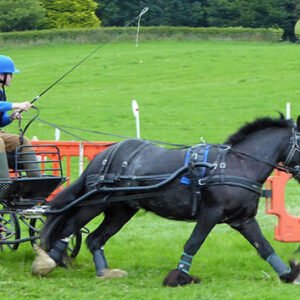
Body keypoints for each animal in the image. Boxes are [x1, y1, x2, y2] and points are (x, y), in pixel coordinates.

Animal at [31, 115, 300, 286]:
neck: (236, 165)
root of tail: (105, 154)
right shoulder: (211, 213)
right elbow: (193, 243)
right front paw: (178, 277)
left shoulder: (242, 219)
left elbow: (264, 247)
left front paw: (288, 274)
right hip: (96, 202)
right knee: (69, 227)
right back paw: (48, 261)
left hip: (121, 210)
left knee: (95, 238)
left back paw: (103, 272)